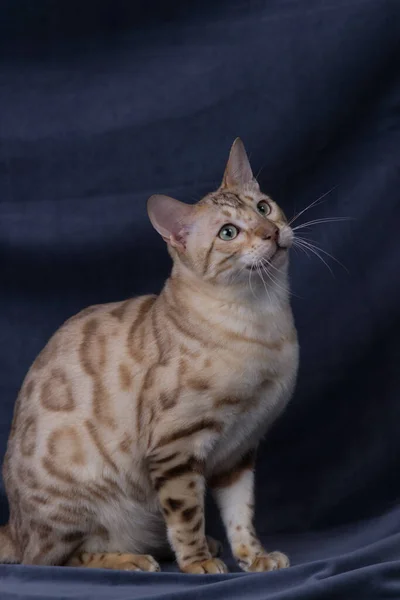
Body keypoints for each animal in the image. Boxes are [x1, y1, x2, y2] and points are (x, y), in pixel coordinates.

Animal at [0, 138, 298, 576]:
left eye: (263, 207)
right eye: (228, 232)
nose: (271, 232)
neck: (265, 320)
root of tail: (14, 524)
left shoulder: (239, 450)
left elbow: (240, 515)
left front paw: (254, 557)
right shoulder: (175, 446)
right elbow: (187, 514)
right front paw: (198, 563)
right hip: (74, 504)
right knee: (50, 560)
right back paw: (133, 560)